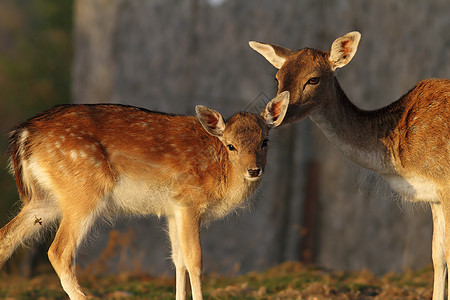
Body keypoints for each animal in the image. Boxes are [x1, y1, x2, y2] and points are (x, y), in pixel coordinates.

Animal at [0, 92, 288, 300]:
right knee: (59, 251)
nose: (254, 170)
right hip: (83, 189)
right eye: (231, 145)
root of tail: (23, 134)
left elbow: (178, 260)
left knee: (6, 238)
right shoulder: (189, 200)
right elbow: (195, 261)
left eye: (265, 141)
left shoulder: (173, 209)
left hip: (44, 200)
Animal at [250, 31, 450, 298]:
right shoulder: (434, 196)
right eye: (277, 77)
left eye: (313, 79)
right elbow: (437, 255)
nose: (272, 113)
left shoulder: (446, 181)